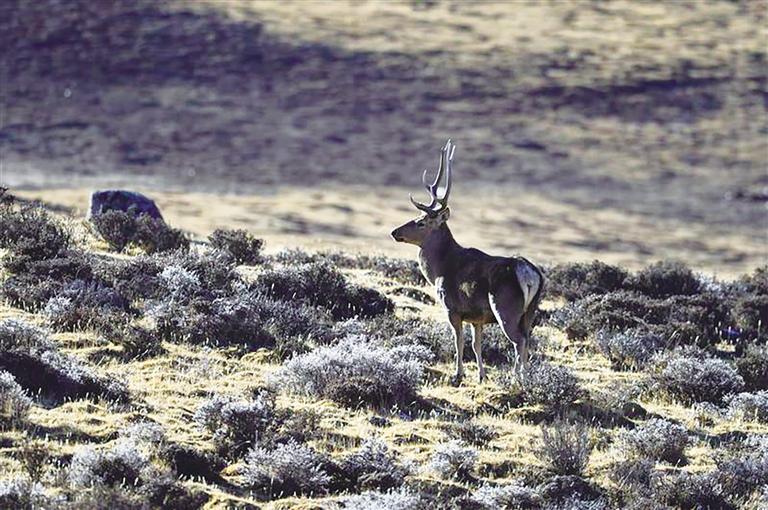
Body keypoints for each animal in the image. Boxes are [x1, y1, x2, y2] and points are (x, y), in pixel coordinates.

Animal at [391, 140, 545, 384]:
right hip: (531, 310)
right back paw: (527, 378)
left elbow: (459, 342)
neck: (439, 271)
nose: (395, 232)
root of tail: (529, 274)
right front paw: (481, 376)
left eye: (421, 222)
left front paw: (458, 375)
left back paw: (517, 379)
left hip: (505, 307)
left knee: (518, 340)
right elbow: (476, 345)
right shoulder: (477, 317)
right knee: (528, 338)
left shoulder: (452, 308)